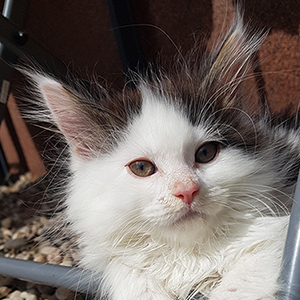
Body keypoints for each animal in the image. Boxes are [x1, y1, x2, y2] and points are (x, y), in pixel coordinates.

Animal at [25, 11, 300, 300]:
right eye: (142, 168)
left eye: (206, 153)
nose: (186, 191)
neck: (191, 255)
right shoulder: (120, 259)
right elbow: (129, 273)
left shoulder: (274, 231)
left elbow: (243, 281)